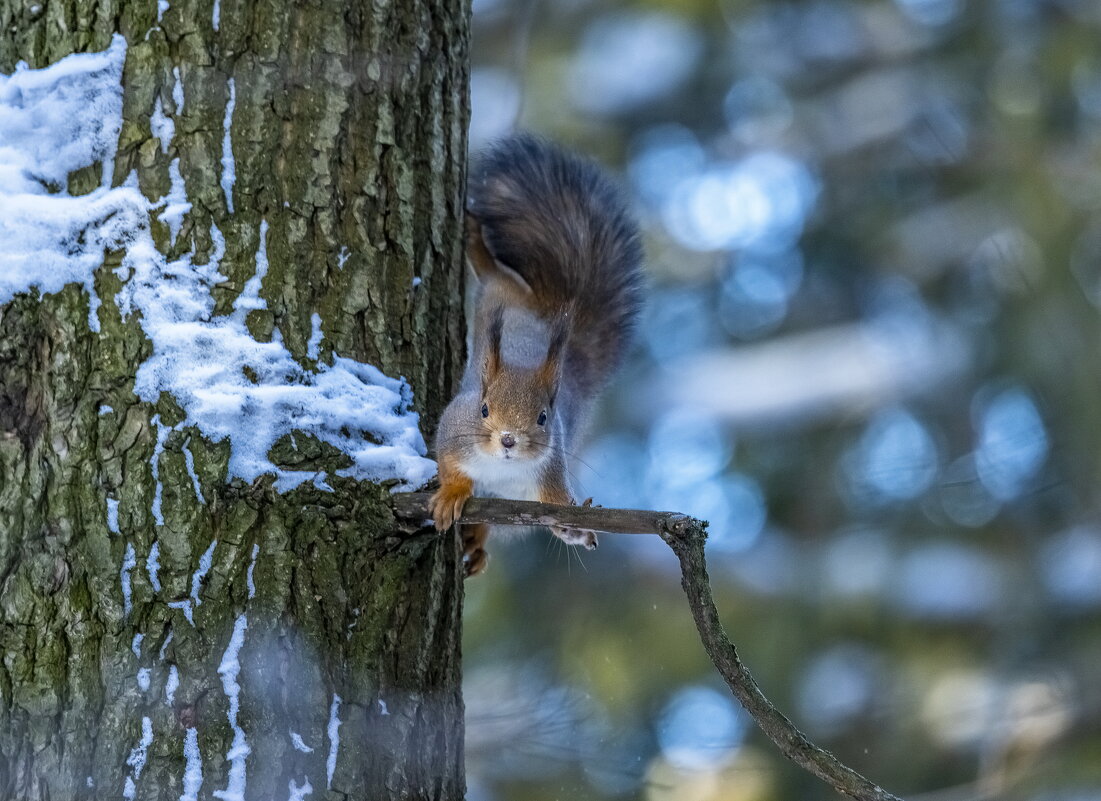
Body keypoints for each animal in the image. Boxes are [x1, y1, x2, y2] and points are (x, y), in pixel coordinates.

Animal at [424, 134, 642, 572]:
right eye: (484, 409)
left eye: (543, 417)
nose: (509, 439)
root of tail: (548, 307)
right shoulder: (455, 428)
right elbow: (449, 462)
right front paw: (452, 493)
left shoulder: (546, 478)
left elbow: (557, 511)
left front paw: (576, 530)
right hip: (501, 290)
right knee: (494, 270)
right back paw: (474, 240)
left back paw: (477, 541)